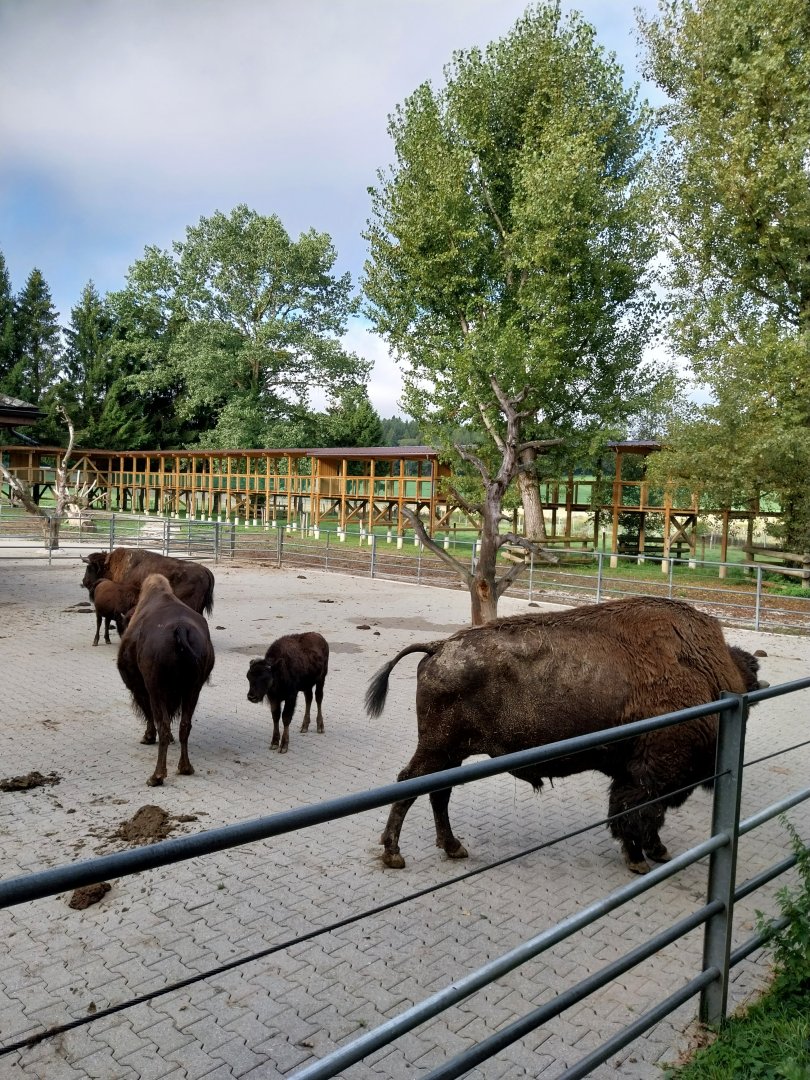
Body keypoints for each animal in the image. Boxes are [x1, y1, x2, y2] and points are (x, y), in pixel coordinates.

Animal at [117, 574, 215, 786]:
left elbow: (150, 715)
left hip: (157, 690)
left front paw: (147, 737)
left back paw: (156, 776)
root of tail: (180, 629)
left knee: (163, 724)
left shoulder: (141, 689)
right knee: (185, 725)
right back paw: (185, 767)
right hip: (193, 691)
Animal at [365, 597, 766, 874]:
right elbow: (638, 813)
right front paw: (640, 858)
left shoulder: (634, 774)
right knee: (410, 785)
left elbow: (638, 813)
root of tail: (439, 648)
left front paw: (653, 851)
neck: (704, 672)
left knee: (438, 792)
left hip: (450, 753)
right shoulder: (650, 775)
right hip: (437, 749)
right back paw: (394, 854)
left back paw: (452, 847)